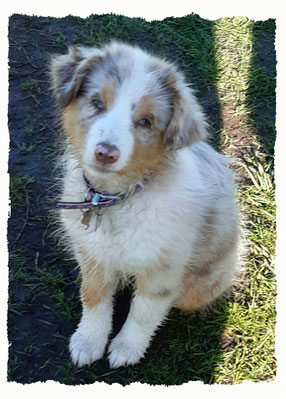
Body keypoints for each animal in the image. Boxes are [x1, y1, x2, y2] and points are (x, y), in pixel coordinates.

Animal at [49, 40, 239, 368]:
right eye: (97, 103)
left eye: (145, 122)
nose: (106, 153)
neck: (113, 199)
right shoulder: (90, 252)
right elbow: (93, 295)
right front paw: (88, 341)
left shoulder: (164, 267)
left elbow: (144, 312)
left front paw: (126, 349)